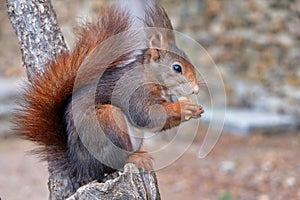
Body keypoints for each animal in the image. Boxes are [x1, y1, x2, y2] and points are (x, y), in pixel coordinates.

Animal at [15, 1, 204, 186]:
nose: (196, 90)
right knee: (111, 164)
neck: (148, 75)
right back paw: (135, 158)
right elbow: (144, 115)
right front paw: (184, 107)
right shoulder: (133, 91)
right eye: (177, 68)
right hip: (107, 119)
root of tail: (80, 166)